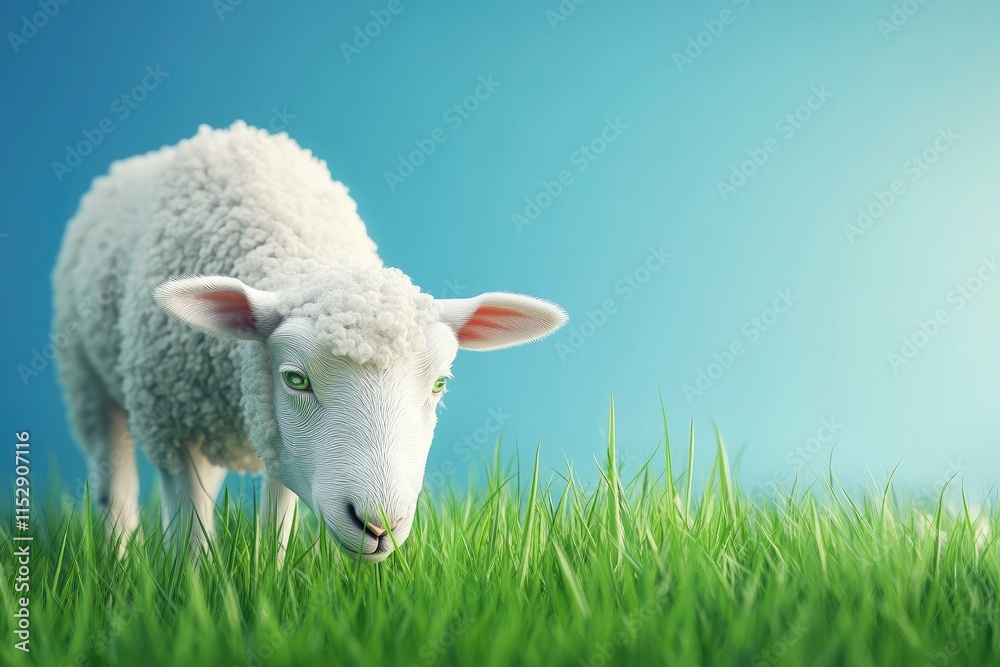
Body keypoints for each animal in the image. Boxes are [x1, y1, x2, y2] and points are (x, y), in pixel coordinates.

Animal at [52, 121, 567, 561]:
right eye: (295, 379)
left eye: (441, 384)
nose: (379, 525)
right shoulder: (172, 427)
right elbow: (189, 529)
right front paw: (194, 591)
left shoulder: (283, 444)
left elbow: (276, 522)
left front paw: (266, 580)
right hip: (86, 378)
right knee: (114, 481)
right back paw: (119, 561)